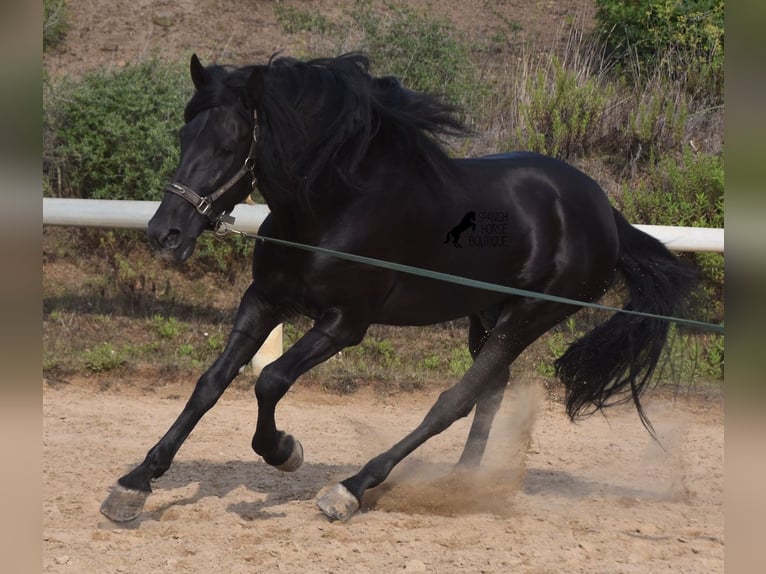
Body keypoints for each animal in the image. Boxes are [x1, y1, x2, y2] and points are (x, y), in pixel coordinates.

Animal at [99, 54, 700, 528]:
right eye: (184, 136)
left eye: (228, 144)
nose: (165, 234)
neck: (329, 210)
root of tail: (605, 213)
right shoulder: (264, 300)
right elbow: (210, 383)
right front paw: (134, 484)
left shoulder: (345, 323)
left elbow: (269, 381)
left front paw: (285, 451)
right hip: (487, 315)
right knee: (489, 391)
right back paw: (456, 485)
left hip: (529, 317)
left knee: (455, 401)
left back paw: (351, 489)